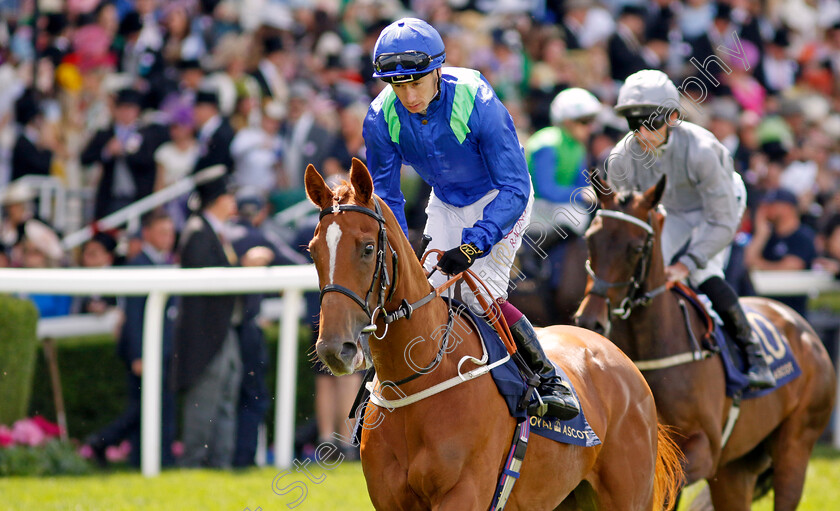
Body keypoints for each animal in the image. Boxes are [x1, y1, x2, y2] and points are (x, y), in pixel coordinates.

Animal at [306, 160, 684, 511]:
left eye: (368, 247)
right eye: (313, 251)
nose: (334, 348)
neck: (416, 381)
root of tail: (619, 358)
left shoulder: (465, 493)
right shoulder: (391, 500)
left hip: (628, 495)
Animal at [576, 177, 836, 511]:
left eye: (636, 248)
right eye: (590, 241)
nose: (590, 320)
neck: (656, 345)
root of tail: (804, 328)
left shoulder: (704, 449)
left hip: (796, 446)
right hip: (736, 469)